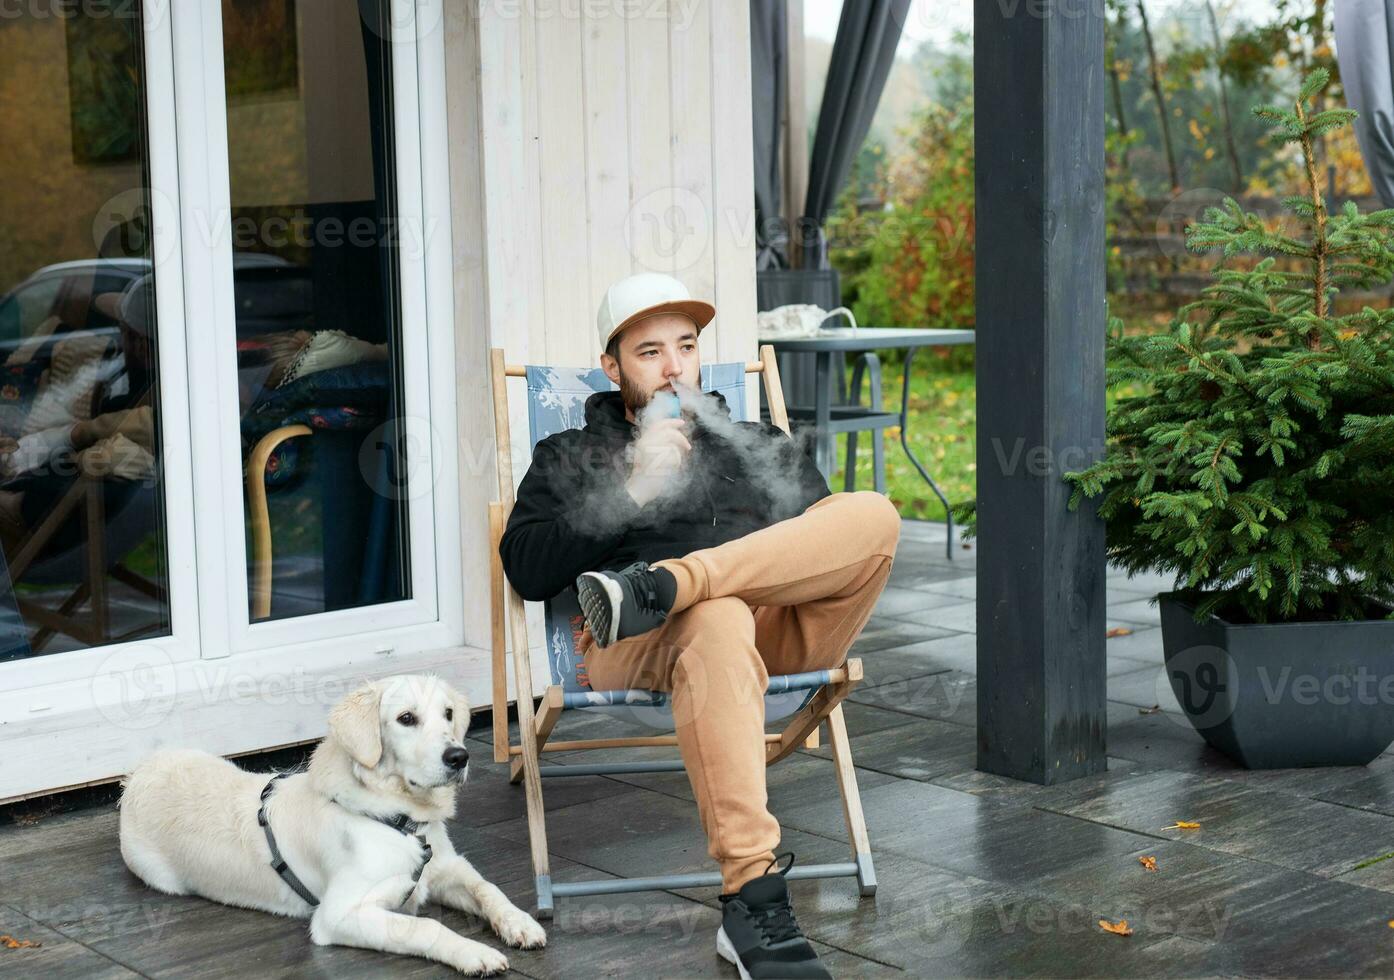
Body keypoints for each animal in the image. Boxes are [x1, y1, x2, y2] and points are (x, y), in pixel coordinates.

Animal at [119, 674, 546, 975]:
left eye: (448, 715)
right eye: (406, 718)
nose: (459, 757)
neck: (399, 819)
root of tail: (138, 773)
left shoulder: (445, 867)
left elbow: (487, 887)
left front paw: (520, 923)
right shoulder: (339, 915)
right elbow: (426, 927)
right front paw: (475, 953)